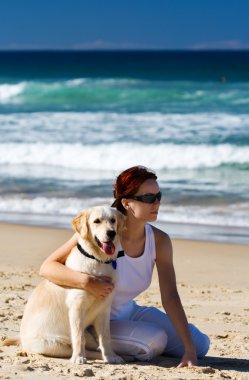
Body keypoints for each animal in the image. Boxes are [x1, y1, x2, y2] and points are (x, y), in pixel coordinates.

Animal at [7, 206, 125, 364]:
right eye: (97, 221)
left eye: (113, 220)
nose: (111, 233)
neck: (98, 260)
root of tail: (21, 339)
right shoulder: (77, 307)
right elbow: (79, 337)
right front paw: (78, 357)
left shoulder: (104, 309)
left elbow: (106, 336)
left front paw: (111, 356)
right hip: (51, 344)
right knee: (81, 347)